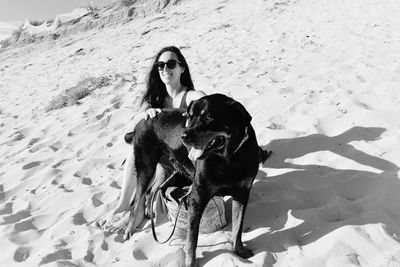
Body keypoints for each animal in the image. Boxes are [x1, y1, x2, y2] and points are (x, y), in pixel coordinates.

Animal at [123, 93, 270, 266]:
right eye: (189, 117)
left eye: (208, 117)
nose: (183, 136)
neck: (228, 158)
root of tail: (139, 124)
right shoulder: (197, 197)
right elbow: (192, 238)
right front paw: (191, 262)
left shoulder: (242, 193)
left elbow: (238, 226)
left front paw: (239, 249)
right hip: (146, 166)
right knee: (136, 200)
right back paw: (129, 229)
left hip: (166, 168)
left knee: (150, 192)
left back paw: (148, 213)